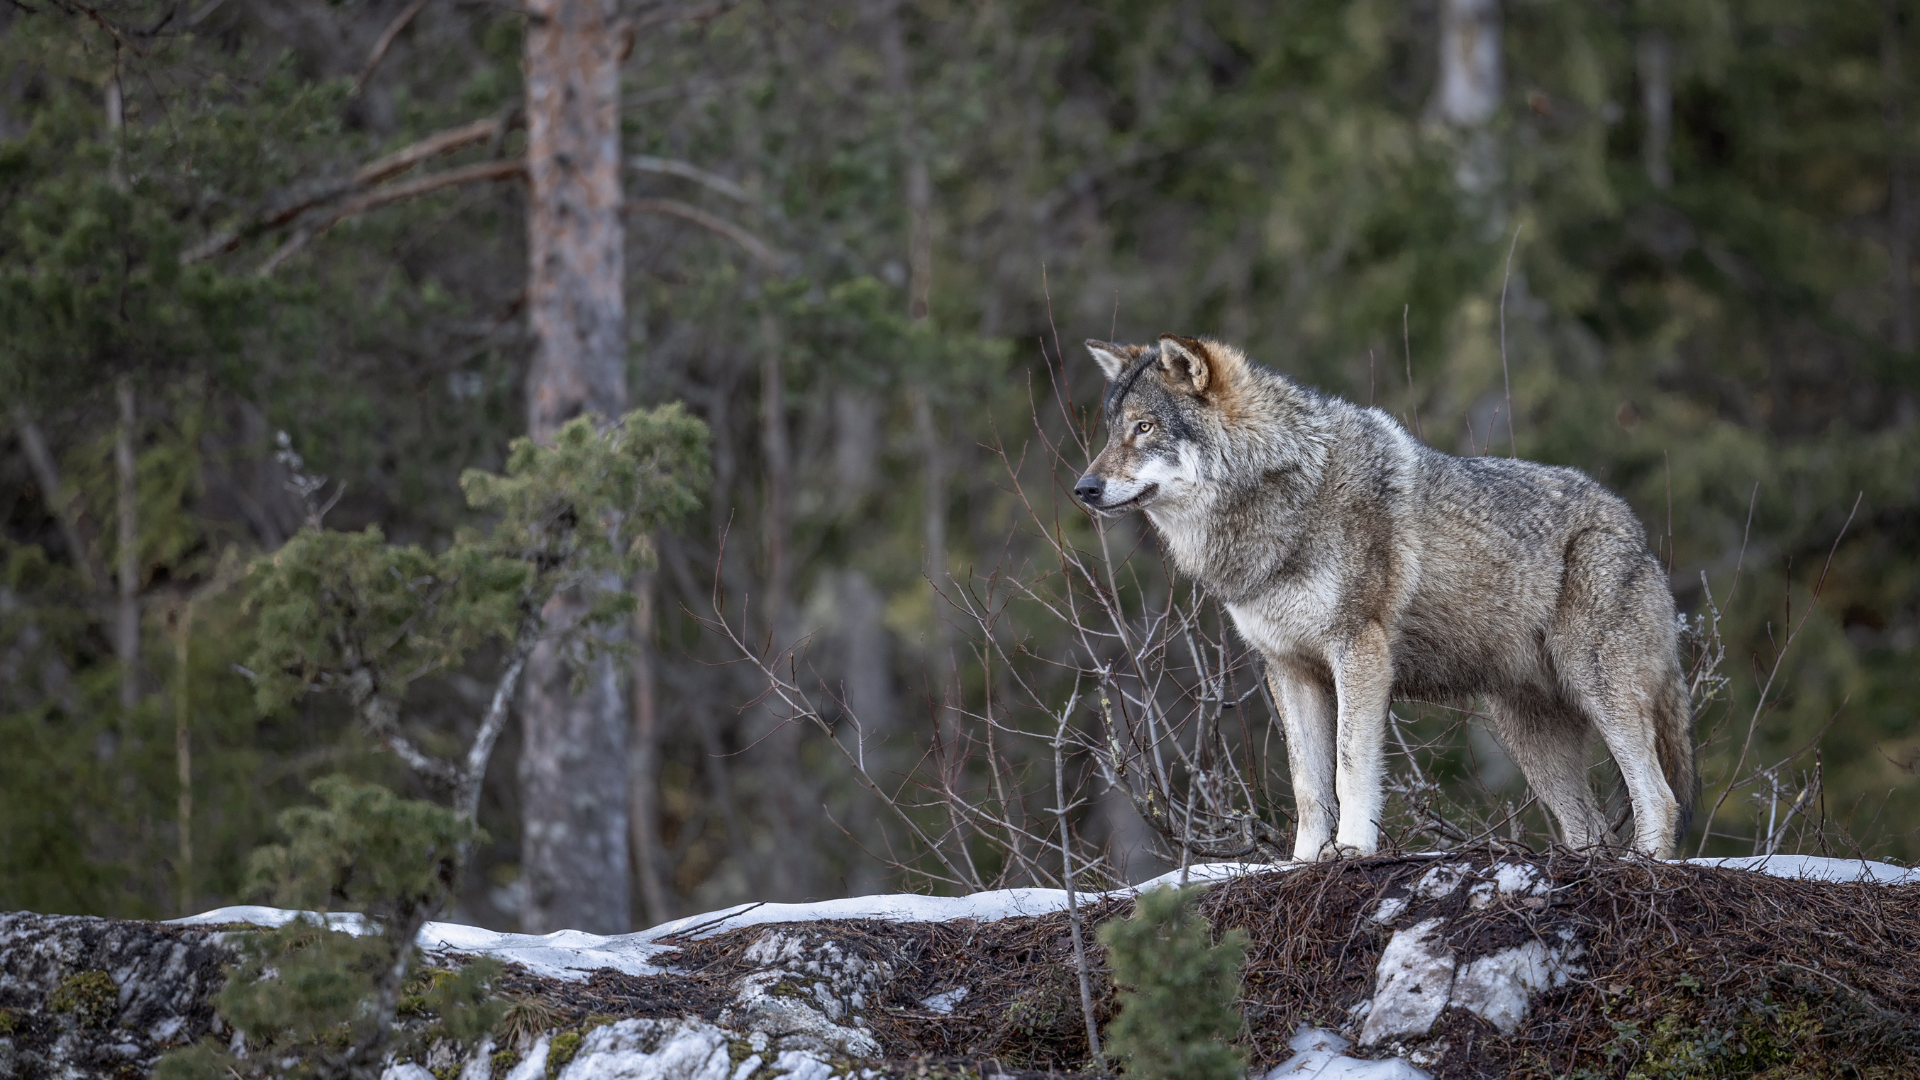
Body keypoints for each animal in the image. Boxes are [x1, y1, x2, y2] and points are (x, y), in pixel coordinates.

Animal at [1074, 335, 1694, 860]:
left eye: (1145, 427)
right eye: (1111, 432)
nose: (1083, 488)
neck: (1283, 494)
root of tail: (1634, 529)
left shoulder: (1359, 651)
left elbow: (1350, 769)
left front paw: (1352, 849)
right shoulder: (1289, 668)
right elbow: (1307, 784)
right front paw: (1303, 862)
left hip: (1596, 689)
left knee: (1659, 797)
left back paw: (1644, 867)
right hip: (1529, 735)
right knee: (1591, 829)